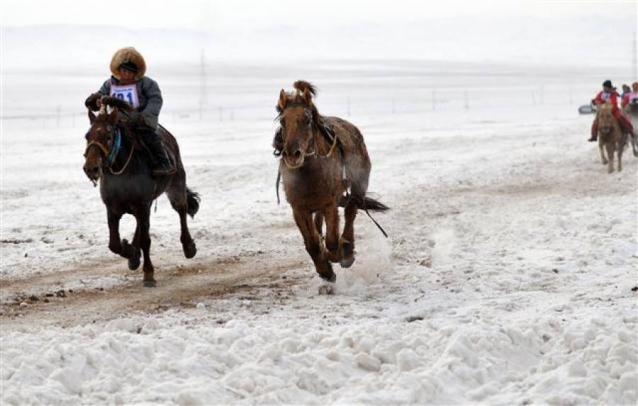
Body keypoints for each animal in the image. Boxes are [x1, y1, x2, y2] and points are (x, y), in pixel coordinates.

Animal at [84, 97, 200, 288]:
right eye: (87, 136)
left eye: (108, 136)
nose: (91, 168)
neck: (122, 172)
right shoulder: (113, 208)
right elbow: (114, 244)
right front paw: (131, 252)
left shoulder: (142, 205)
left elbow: (146, 240)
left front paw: (148, 274)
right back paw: (133, 255)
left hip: (175, 186)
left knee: (181, 210)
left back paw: (188, 247)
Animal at [272, 80, 388, 292]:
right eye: (283, 121)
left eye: (307, 120)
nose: (292, 154)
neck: (309, 174)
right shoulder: (299, 208)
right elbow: (311, 244)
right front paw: (325, 271)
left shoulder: (329, 204)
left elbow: (333, 241)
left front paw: (336, 255)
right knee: (320, 224)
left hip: (358, 187)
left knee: (351, 212)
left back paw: (347, 251)